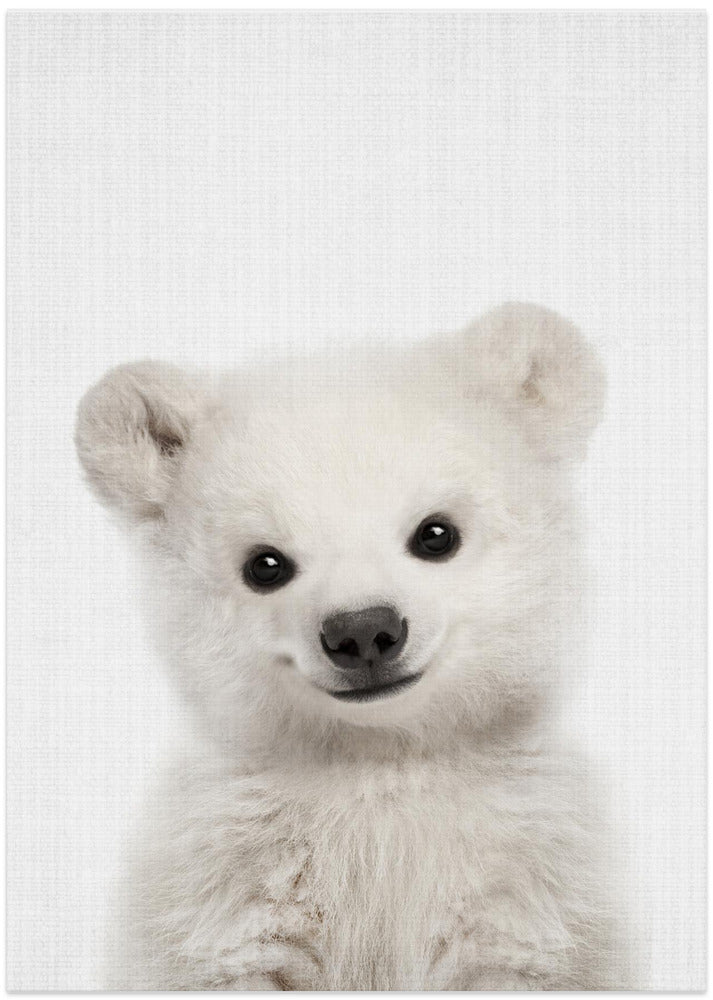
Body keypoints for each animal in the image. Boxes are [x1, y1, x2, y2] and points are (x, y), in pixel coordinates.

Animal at [75, 302, 613, 991]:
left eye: (437, 533)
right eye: (265, 564)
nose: (362, 631)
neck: (376, 763)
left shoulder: (525, 882)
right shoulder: (228, 887)